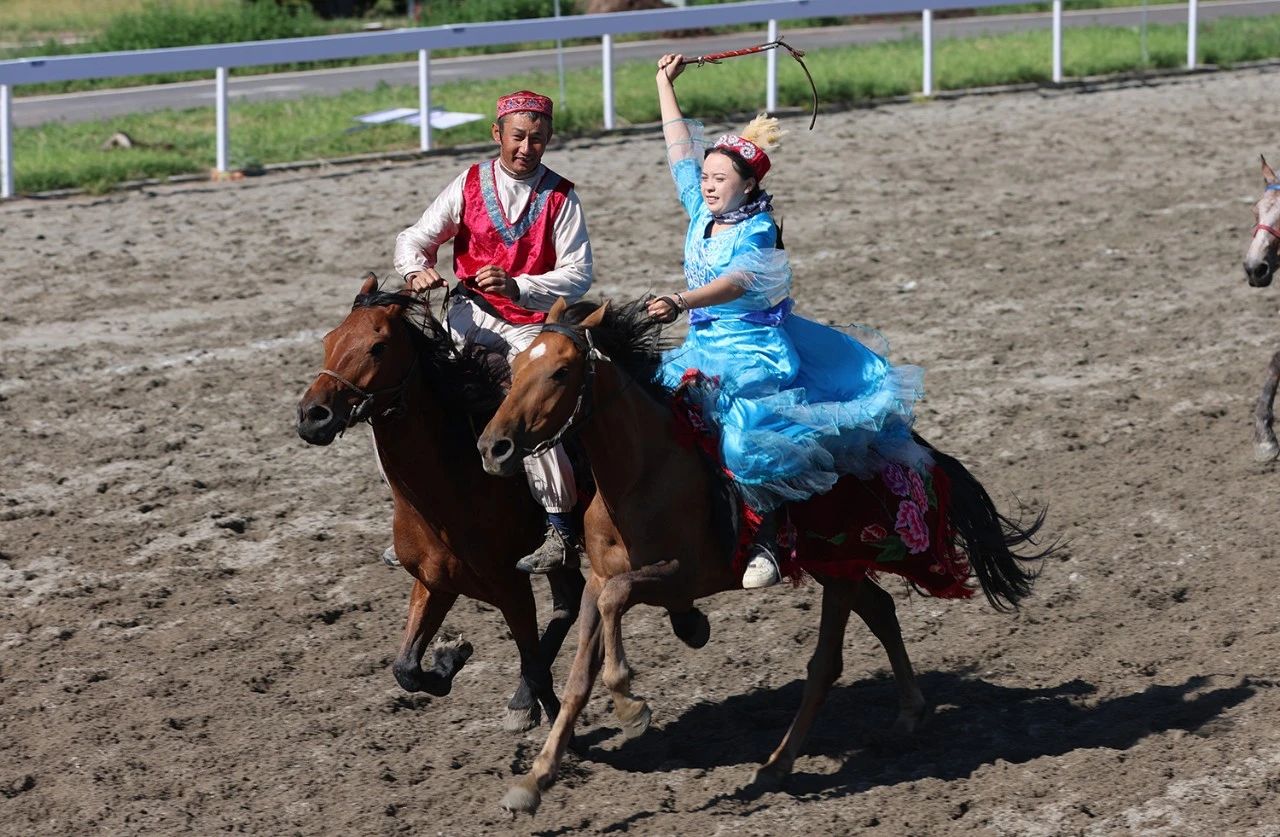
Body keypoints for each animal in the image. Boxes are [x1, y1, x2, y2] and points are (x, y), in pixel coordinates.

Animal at [294, 277, 586, 737]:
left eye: (378, 347)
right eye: (328, 339)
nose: (312, 416)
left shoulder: (512, 588)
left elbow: (534, 663)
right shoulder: (434, 583)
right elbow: (405, 668)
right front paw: (452, 655)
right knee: (568, 601)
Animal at [476, 299, 1054, 813]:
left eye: (560, 372)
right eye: (515, 367)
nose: (493, 447)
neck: (642, 474)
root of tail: (903, 442)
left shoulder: (685, 576)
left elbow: (621, 603)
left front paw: (629, 701)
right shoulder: (597, 580)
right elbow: (580, 673)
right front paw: (534, 780)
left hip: (840, 568)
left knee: (826, 663)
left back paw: (775, 766)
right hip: (834, 565)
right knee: (881, 610)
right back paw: (908, 714)